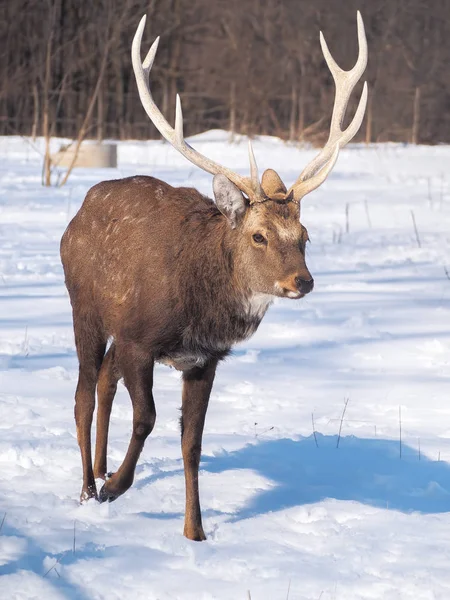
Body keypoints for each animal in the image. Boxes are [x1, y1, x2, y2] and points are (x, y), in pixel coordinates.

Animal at [59, 12, 368, 540]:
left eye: (304, 234)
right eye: (259, 235)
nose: (302, 282)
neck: (199, 308)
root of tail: (76, 217)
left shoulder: (204, 359)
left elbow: (193, 443)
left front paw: (195, 532)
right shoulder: (141, 339)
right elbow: (146, 419)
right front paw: (117, 487)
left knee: (102, 381)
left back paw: (99, 469)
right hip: (87, 308)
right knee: (82, 395)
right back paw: (87, 488)